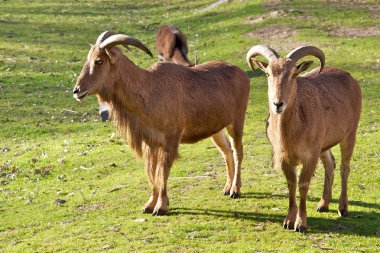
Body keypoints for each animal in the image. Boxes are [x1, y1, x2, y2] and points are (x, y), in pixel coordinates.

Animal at [72, 30, 251, 214]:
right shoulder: (150, 143)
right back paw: (227, 187)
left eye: (99, 61)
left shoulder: (169, 141)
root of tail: (242, 74)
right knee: (227, 151)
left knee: (238, 152)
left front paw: (161, 206)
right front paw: (149, 204)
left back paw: (235, 190)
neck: (149, 89)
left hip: (236, 121)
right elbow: (152, 173)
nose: (77, 91)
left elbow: (162, 172)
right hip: (217, 130)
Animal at [246, 45, 362, 231]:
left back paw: (342, 208)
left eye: (294, 74)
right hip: (324, 144)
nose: (278, 104)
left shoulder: (310, 156)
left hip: (350, 134)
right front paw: (288, 221)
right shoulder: (286, 157)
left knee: (345, 167)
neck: (292, 132)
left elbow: (303, 185)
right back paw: (323, 204)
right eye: (268, 73)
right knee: (330, 163)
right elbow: (292, 184)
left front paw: (301, 223)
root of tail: (351, 79)